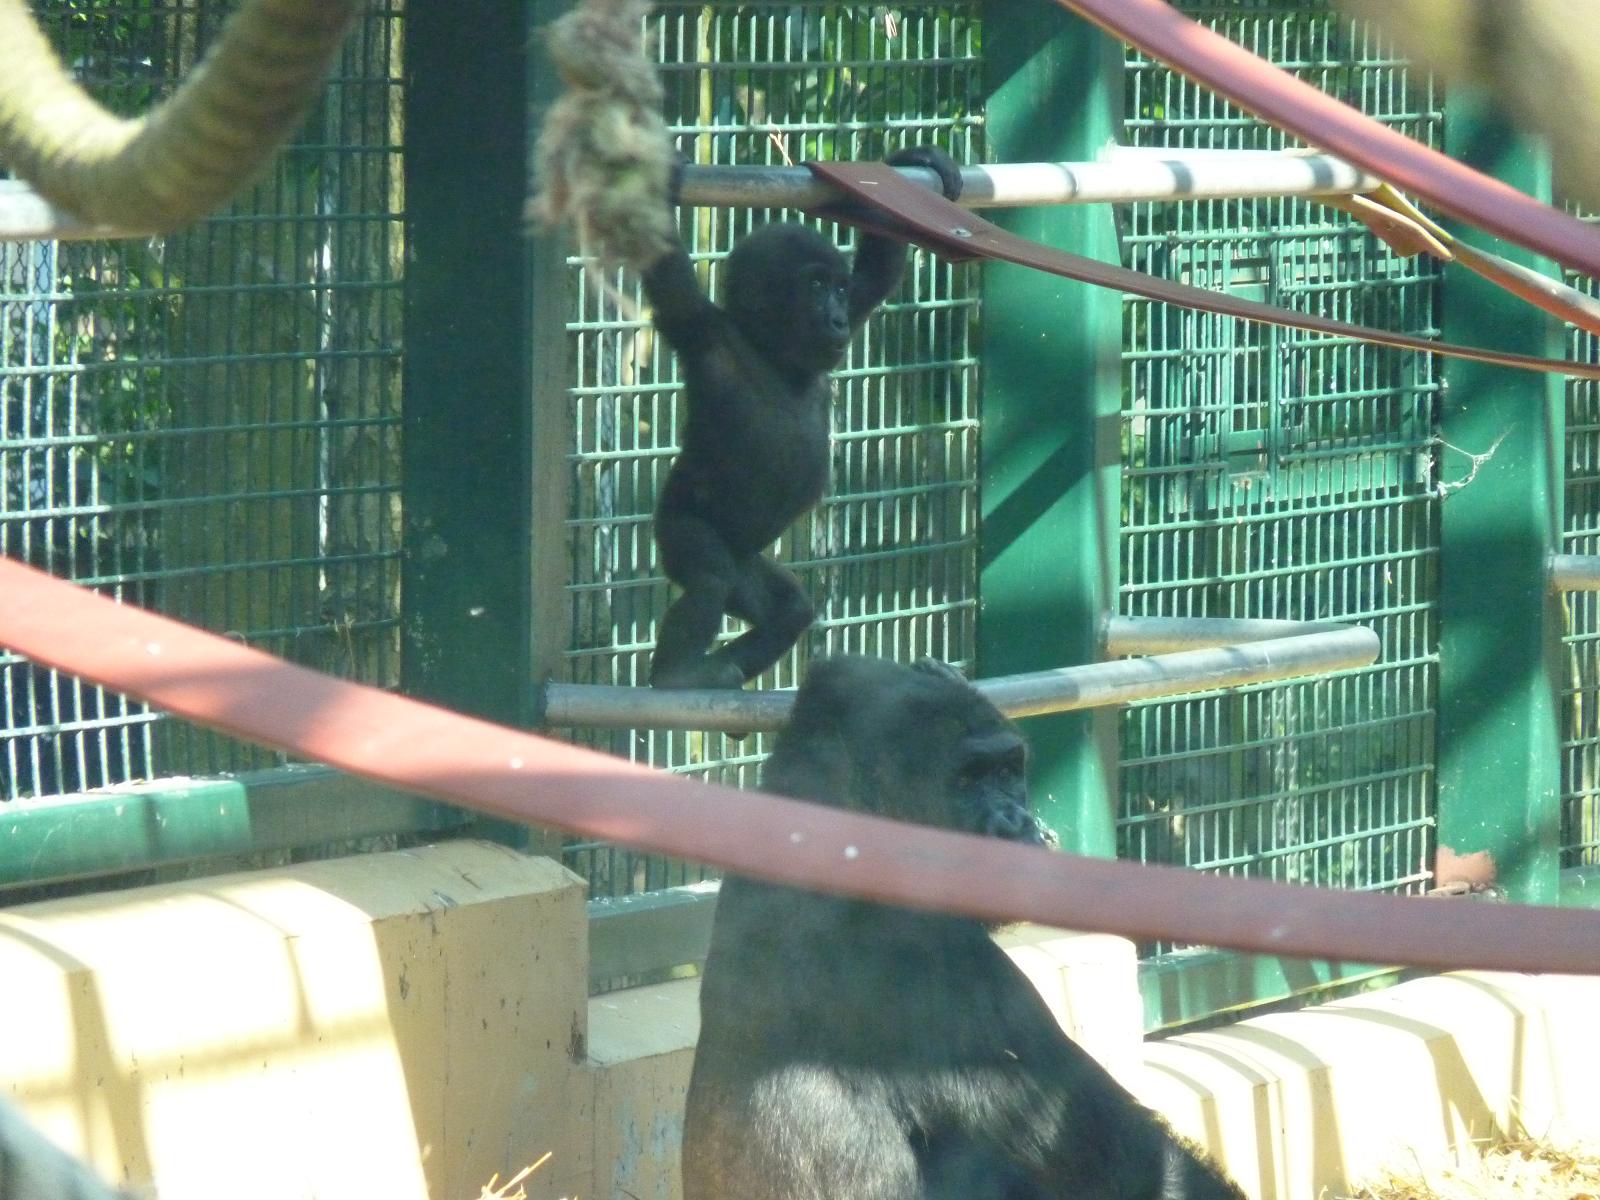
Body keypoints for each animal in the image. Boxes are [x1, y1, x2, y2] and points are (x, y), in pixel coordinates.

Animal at [640, 149, 964, 690]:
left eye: (839, 288)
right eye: (814, 286)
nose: (835, 318)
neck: (772, 353)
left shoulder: (856, 309)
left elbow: (877, 274)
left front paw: (914, 160)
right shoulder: (701, 329)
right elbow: (668, 277)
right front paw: (665, 175)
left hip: (750, 565)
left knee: (787, 609)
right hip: (677, 528)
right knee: (709, 578)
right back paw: (677, 674)